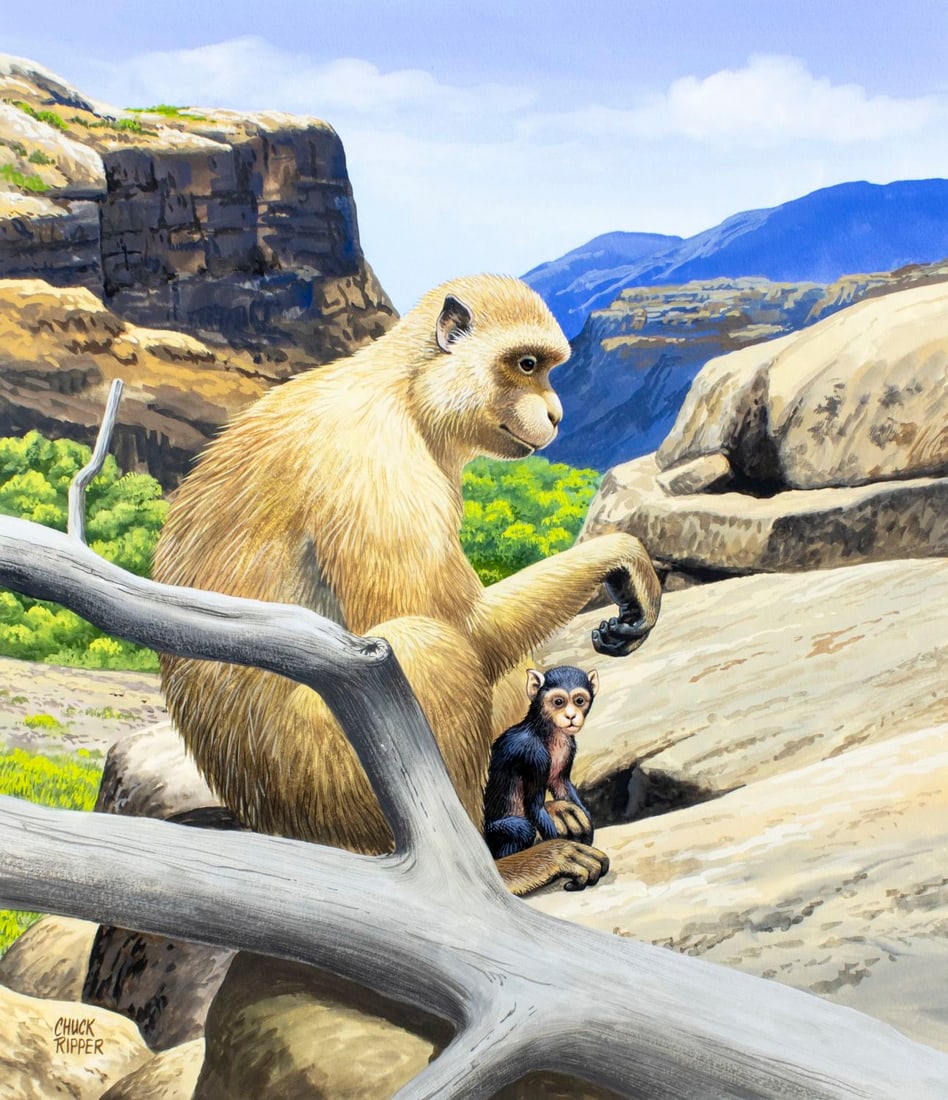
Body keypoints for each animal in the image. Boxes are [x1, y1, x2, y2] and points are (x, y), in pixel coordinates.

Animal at [484, 666, 599, 866]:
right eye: (559, 701)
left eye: (579, 700)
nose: (571, 716)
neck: (546, 731)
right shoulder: (534, 755)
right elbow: (534, 806)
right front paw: (558, 848)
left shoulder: (568, 748)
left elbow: (562, 786)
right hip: (495, 832)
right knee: (523, 829)